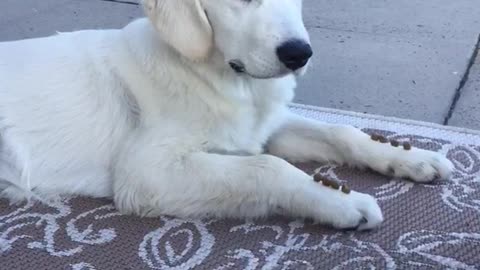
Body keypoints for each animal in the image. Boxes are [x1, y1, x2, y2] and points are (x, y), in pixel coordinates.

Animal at [0, 0, 454, 230]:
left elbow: (343, 133)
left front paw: (408, 156)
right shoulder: (144, 173)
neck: (231, 81)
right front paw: (340, 202)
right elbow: (268, 167)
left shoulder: (264, 127)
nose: (299, 53)